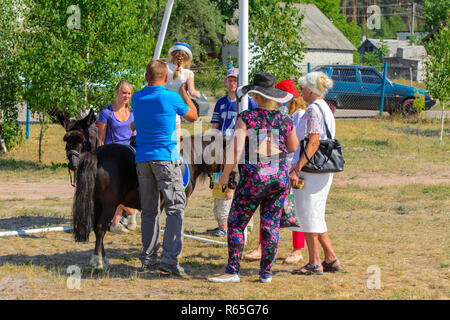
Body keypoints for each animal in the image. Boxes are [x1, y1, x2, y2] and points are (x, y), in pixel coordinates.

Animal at [57, 109, 236, 268]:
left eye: (80, 140)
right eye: (67, 140)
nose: (234, 179)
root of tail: (97, 155)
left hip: (97, 203)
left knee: (96, 227)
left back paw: (104, 258)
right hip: (108, 205)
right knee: (100, 228)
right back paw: (98, 261)